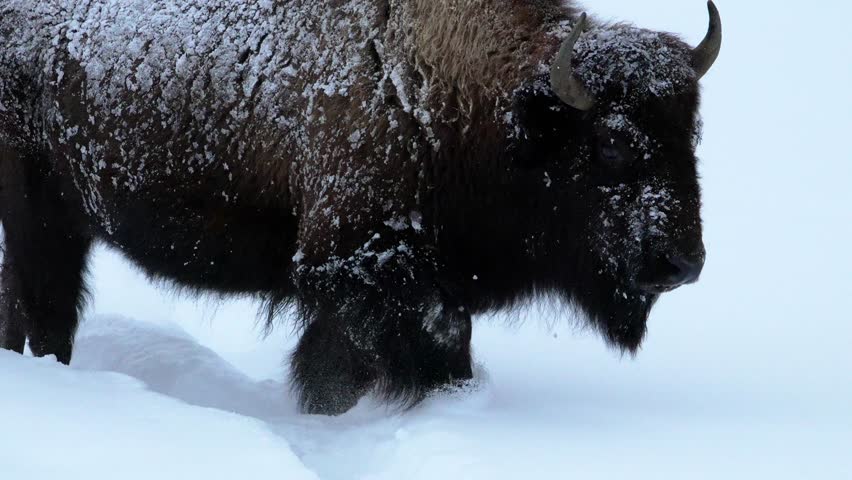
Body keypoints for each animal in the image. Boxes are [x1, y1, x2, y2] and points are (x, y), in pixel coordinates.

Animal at [0, 0, 721, 414]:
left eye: (691, 136)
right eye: (612, 144)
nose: (681, 263)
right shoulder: (356, 270)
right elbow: (400, 350)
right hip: (39, 217)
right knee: (46, 310)